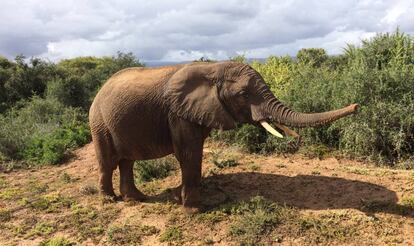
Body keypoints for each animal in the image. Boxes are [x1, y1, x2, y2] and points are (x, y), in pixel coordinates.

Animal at [89, 60, 358, 212]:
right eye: (243, 95)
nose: (357, 106)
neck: (212, 68)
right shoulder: (178, 114)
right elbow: (189, 154)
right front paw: (194, 210)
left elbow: (193, 153)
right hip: (99, 123)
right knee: (109, 162)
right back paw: (110, 201)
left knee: (127, 161)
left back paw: (136, 199)